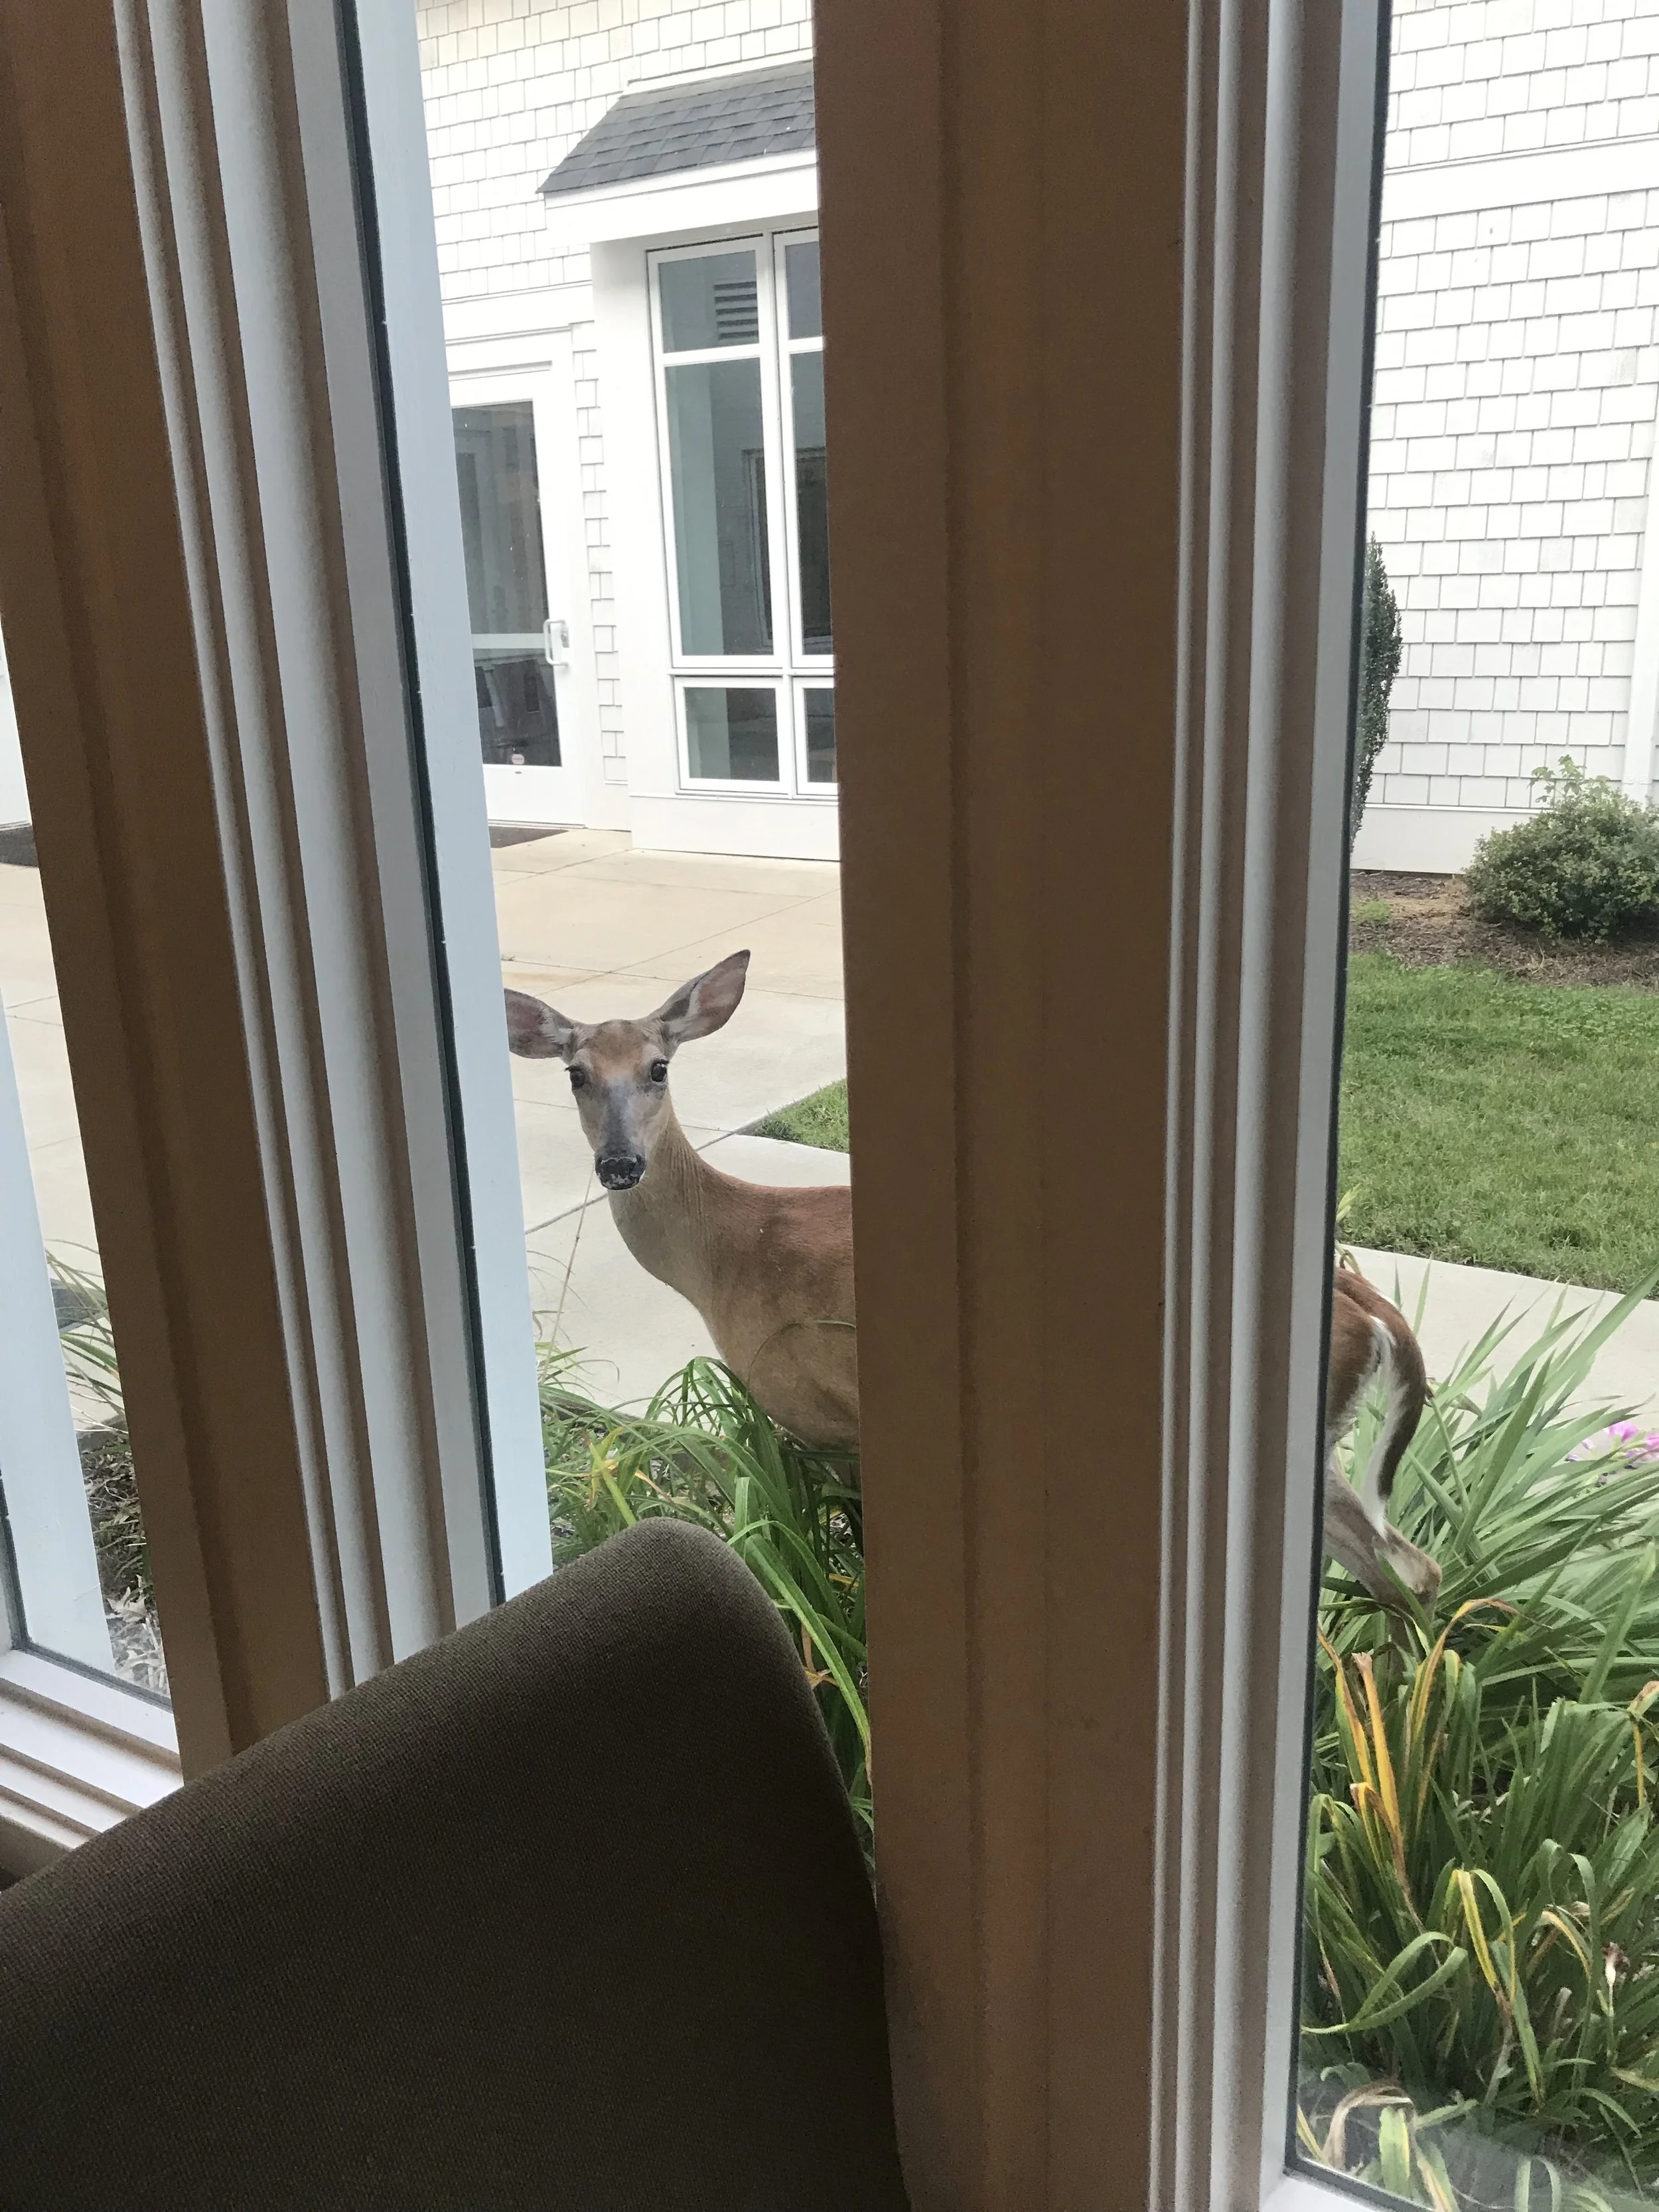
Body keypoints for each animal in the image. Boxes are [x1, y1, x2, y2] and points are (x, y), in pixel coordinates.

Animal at [505, 947, 1440, 1608]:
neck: (723, 1254)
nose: (620, 1165)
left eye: (658, 1068)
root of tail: (1364, 1300)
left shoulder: (823, 1414)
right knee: (1411, 1569)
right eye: (576, 1073)